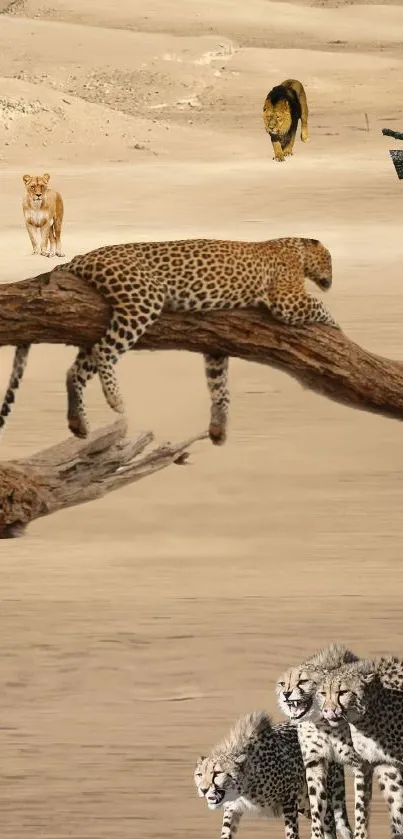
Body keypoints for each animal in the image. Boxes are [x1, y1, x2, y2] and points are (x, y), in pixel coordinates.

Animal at [0, 236, 340, 442]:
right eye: (330, 261)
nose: (332, 280)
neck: (295, 248)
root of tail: (82, 257)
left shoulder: (216, 345)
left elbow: (219, 385)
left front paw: (219, 427)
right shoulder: (287, 301)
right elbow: (318, 306)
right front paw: (336, 325)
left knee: (78, 368)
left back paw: (78, 423)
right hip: (143, 299)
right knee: (105, 353)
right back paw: (115, 399)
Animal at [193, 708, 348, 839]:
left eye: (217, 773)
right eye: (200, 775)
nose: (203, 789)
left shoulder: (289, 797)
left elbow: (291, 833)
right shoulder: (232, 807)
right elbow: (226, 832)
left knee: (329, 826)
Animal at [318, 660, 403, 836]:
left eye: (343, 692)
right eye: (323, 693)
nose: (327, 711)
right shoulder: (368, 765)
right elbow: (361, 807)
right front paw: (359, 834)